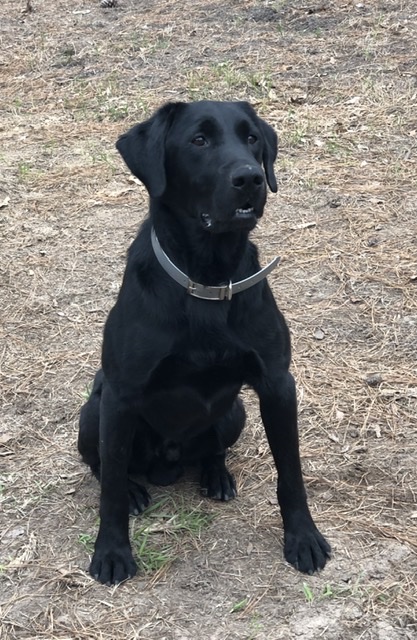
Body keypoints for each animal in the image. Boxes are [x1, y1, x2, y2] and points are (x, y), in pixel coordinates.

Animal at [78, 100, 330, 584]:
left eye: (252, 138)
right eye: (199, 140)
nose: (250, 178)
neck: (208, 279)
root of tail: (168, 464)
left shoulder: (277, 385)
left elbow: (290, 473)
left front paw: (303, 538)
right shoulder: (120, 396)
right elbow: (111, 486)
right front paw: (112, 551)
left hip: (235, 413)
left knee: (213, 448)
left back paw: (217, 476)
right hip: (93, 413)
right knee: (105, 466)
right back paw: (136, 489)